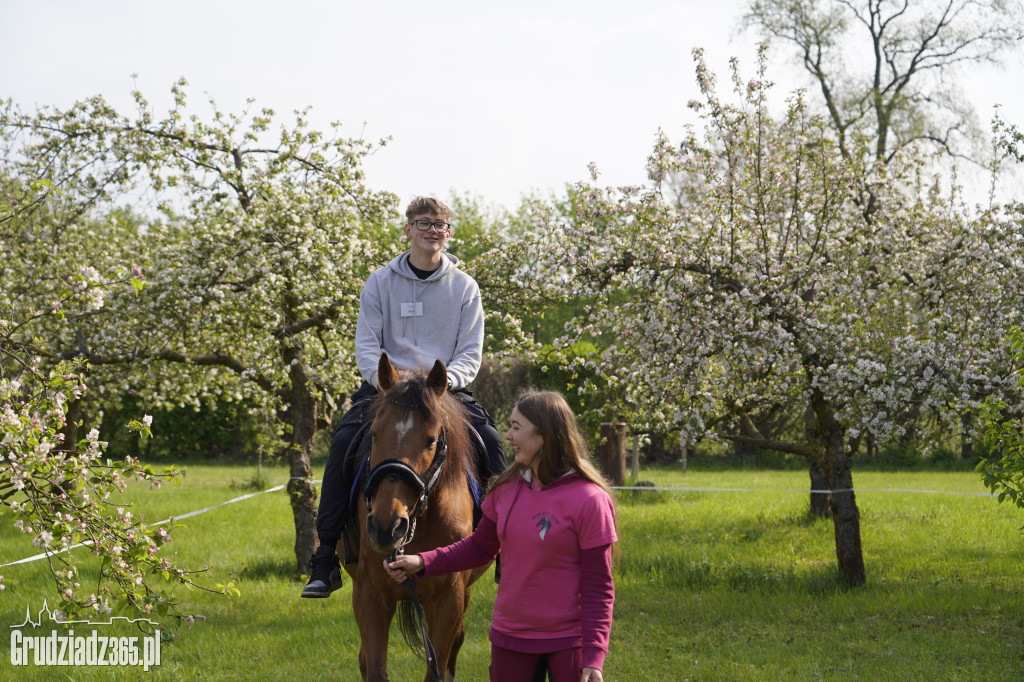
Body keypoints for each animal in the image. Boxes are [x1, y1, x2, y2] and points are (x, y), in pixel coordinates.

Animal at [344, 352, 487, 679]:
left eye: (431, 440)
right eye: (374, 434)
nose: (386, 527)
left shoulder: (449, 599)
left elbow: (438, 668)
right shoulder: (370, 595)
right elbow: (374, 669)